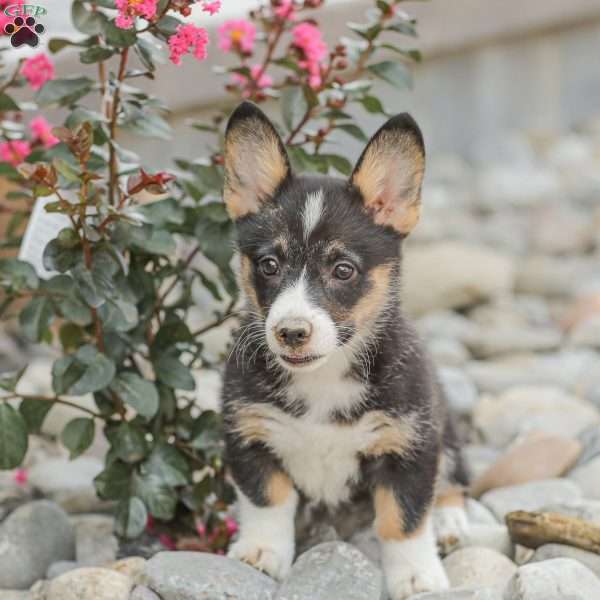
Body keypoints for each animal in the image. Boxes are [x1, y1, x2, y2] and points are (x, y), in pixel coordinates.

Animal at [221, 101, 468, 596]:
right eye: (269, 265)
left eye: (342, 270)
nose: (291, 332)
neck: (322, 377)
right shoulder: (249, 433)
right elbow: (267, 500)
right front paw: (261, 553)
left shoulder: (409, 444)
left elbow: (403, 518)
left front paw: (417, 576)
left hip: (446, 428)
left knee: (452, 479)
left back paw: (450, 522)